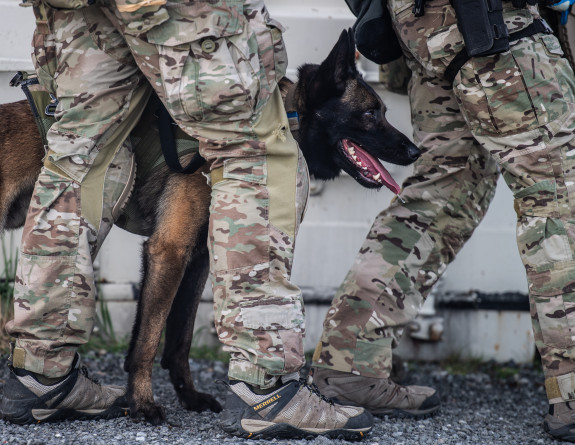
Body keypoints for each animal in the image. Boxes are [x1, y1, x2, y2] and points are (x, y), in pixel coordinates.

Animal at [0, 29, 418, 424]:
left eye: (383, 110)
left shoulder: (198, 259)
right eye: (371, 113)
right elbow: (149, 339)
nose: (415, 151)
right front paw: (142, 402)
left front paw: (188, 396)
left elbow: (178, 339)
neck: (288, 120)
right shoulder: (169, 251)